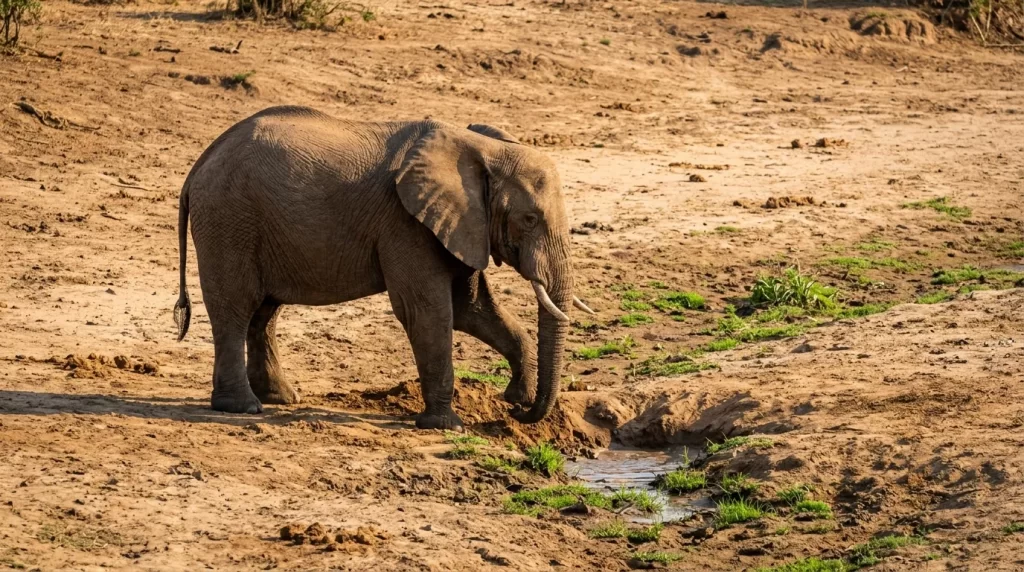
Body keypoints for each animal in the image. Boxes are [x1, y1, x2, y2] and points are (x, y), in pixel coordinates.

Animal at [172, 106, 594, 429]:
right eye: (529, 219)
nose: (519, 413)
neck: (480, 148)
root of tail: (199, 165)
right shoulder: (405, 223)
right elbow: (427, 312)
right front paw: (445, 426)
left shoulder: (462, 224)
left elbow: (471, 310)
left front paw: (516, 395)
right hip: (229, 220)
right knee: (236, 307)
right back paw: (242, 407)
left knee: (265, 311)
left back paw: (281, 397)